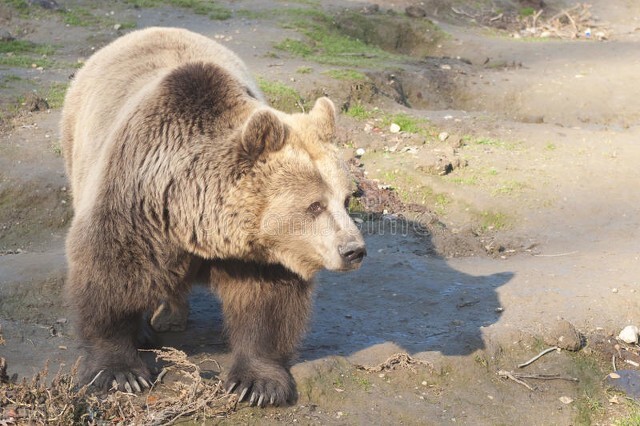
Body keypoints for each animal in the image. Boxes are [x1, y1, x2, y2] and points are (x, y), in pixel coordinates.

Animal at [62, 26, 368, 406]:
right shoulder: (134, 206)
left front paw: (257, 384)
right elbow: (109, 275)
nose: (354, 249)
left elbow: (266, 304)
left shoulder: (260, 252)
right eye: (314, 205)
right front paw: (121, 372)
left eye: (346, 198)